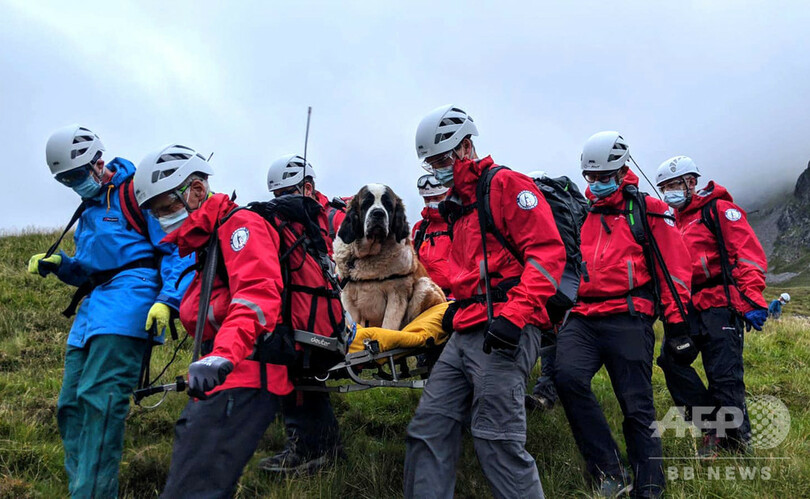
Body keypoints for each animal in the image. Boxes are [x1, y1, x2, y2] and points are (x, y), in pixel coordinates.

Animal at [332, 182, 446, 330]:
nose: (378, 213)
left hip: (424, 286)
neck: (369, 255)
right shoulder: (348, 298)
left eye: (388, 205)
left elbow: (388, 326)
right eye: (366, 203)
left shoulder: (397, 295)